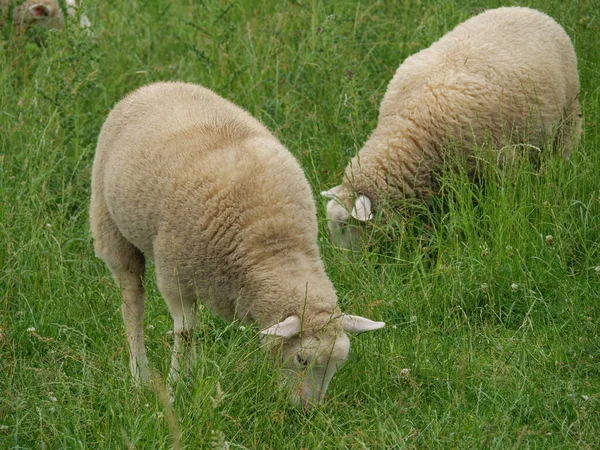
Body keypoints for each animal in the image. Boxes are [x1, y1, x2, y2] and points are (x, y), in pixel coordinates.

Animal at [91, 81, 386, 408]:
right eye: (302, 359)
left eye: (338, 364)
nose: (309, 410)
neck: (273, 243)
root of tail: (156, 85)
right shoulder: (174, 274)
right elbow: (186, 333)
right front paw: (176, 384)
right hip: (110, 227)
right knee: (132, 304)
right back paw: (139, 375)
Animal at [324, 6, 580, 250]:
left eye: (345, 225)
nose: (344, 264)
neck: (408, 127)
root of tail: (527, 9)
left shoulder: (501, 162)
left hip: (568, 114)